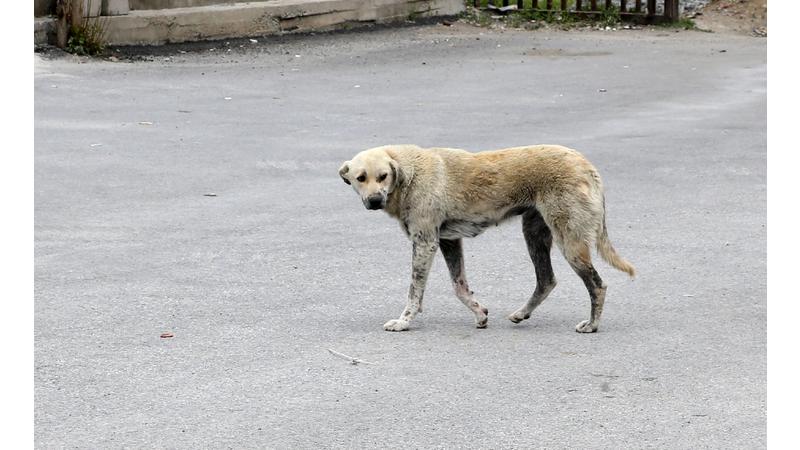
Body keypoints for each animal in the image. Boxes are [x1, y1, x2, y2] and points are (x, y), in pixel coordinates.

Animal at [334, 146, 636, 332]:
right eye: (360, 178)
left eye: (383, 176)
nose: (374, 200)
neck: (410, 174)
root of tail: (587, 165)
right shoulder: (448, 242)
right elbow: (459, 286)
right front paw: (479, 313)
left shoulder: (425, 244)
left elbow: (414, 293)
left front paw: (404, 322)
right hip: (534, 234)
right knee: (546, 280)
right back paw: (522, 313)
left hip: (570, 242)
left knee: (597, 285)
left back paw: (592, 325)